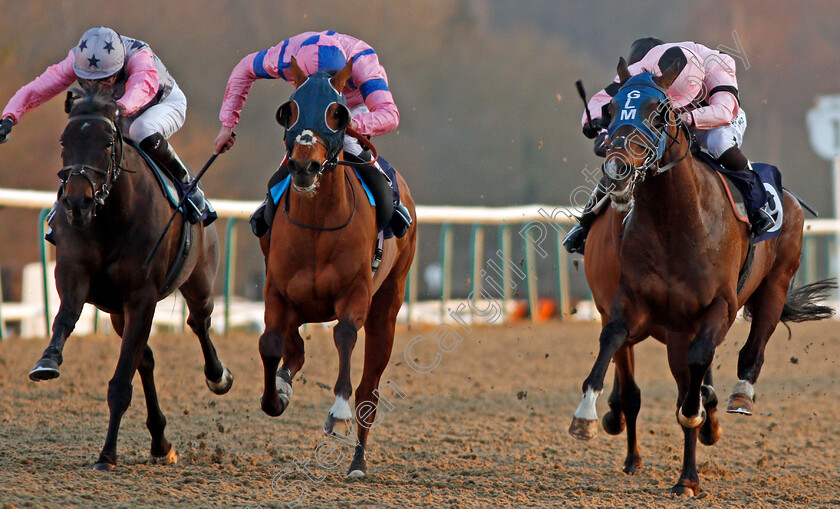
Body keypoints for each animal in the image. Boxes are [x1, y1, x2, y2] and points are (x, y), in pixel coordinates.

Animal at [28, 85, 233, 470]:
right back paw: (160, 441)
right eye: (64, 141)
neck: (110, 216)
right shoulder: (75, 272)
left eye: (108, 142)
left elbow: (121, 383)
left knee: (199, 322)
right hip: (116, 310)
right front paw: (47, 361)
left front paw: (107, 454)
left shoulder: (142, 295)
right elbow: (66, 317)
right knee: (147, 358)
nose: (76, 203)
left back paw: (218, 377)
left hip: (198, 281)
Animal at [254, 58, 416, 476]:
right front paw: (274, 396)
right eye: (290, 110)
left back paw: (358, 460)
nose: (305, 165)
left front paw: (338, 412)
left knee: (369, 388)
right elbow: (270, 343)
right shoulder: (278, 291)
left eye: (337, 112)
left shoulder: (354, 292)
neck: (318, 226)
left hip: (387, 306)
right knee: (293, 348)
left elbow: (344, 335)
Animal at [568, 57, 836, 494]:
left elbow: (692, 389)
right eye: (612, 109)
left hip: (775, 284)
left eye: (658, 113)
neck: (676, 221)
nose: (617, 167)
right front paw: (586, 416)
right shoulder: (627, 303)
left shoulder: (718, 308)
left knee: (754, 343)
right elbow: (613, 346)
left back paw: (736, 400)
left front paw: (696, 440)